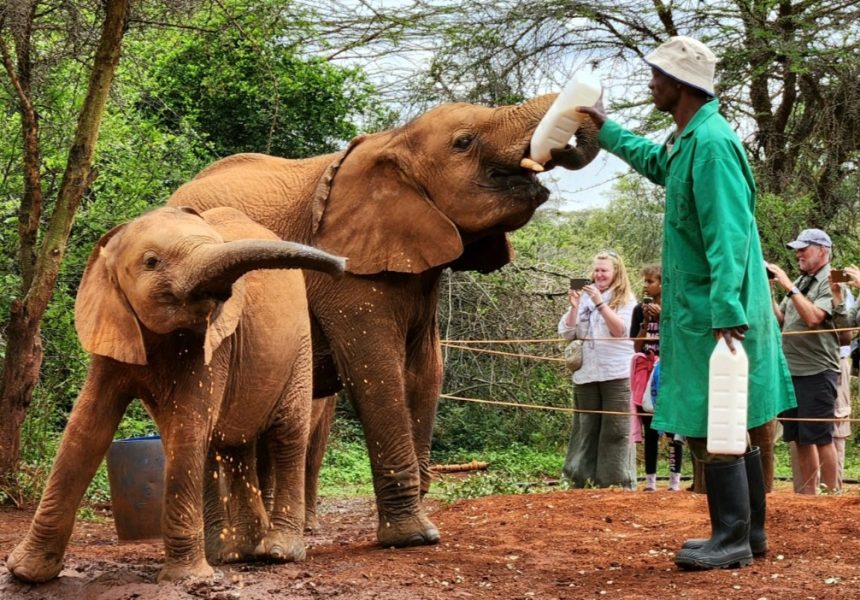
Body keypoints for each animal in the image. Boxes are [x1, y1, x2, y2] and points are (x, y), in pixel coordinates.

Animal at [6, 206, 346, 583]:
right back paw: (231, 553)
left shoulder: (213, 343)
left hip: (299, 347)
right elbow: (86, 427)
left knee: (285, 435)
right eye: (152, 262)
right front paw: (25, 574)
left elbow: (187, 425)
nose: (342, 265)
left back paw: (275, 553)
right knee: (230, 443)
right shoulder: (116, 327)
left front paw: (185, 579)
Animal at [166, 95, 600, 548]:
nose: (572, 129)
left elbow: (426, 372)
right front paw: (415, 537)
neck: (394, 141)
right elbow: (376, 371)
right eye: (463, 142)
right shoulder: (346, 274)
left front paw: (421, 524)